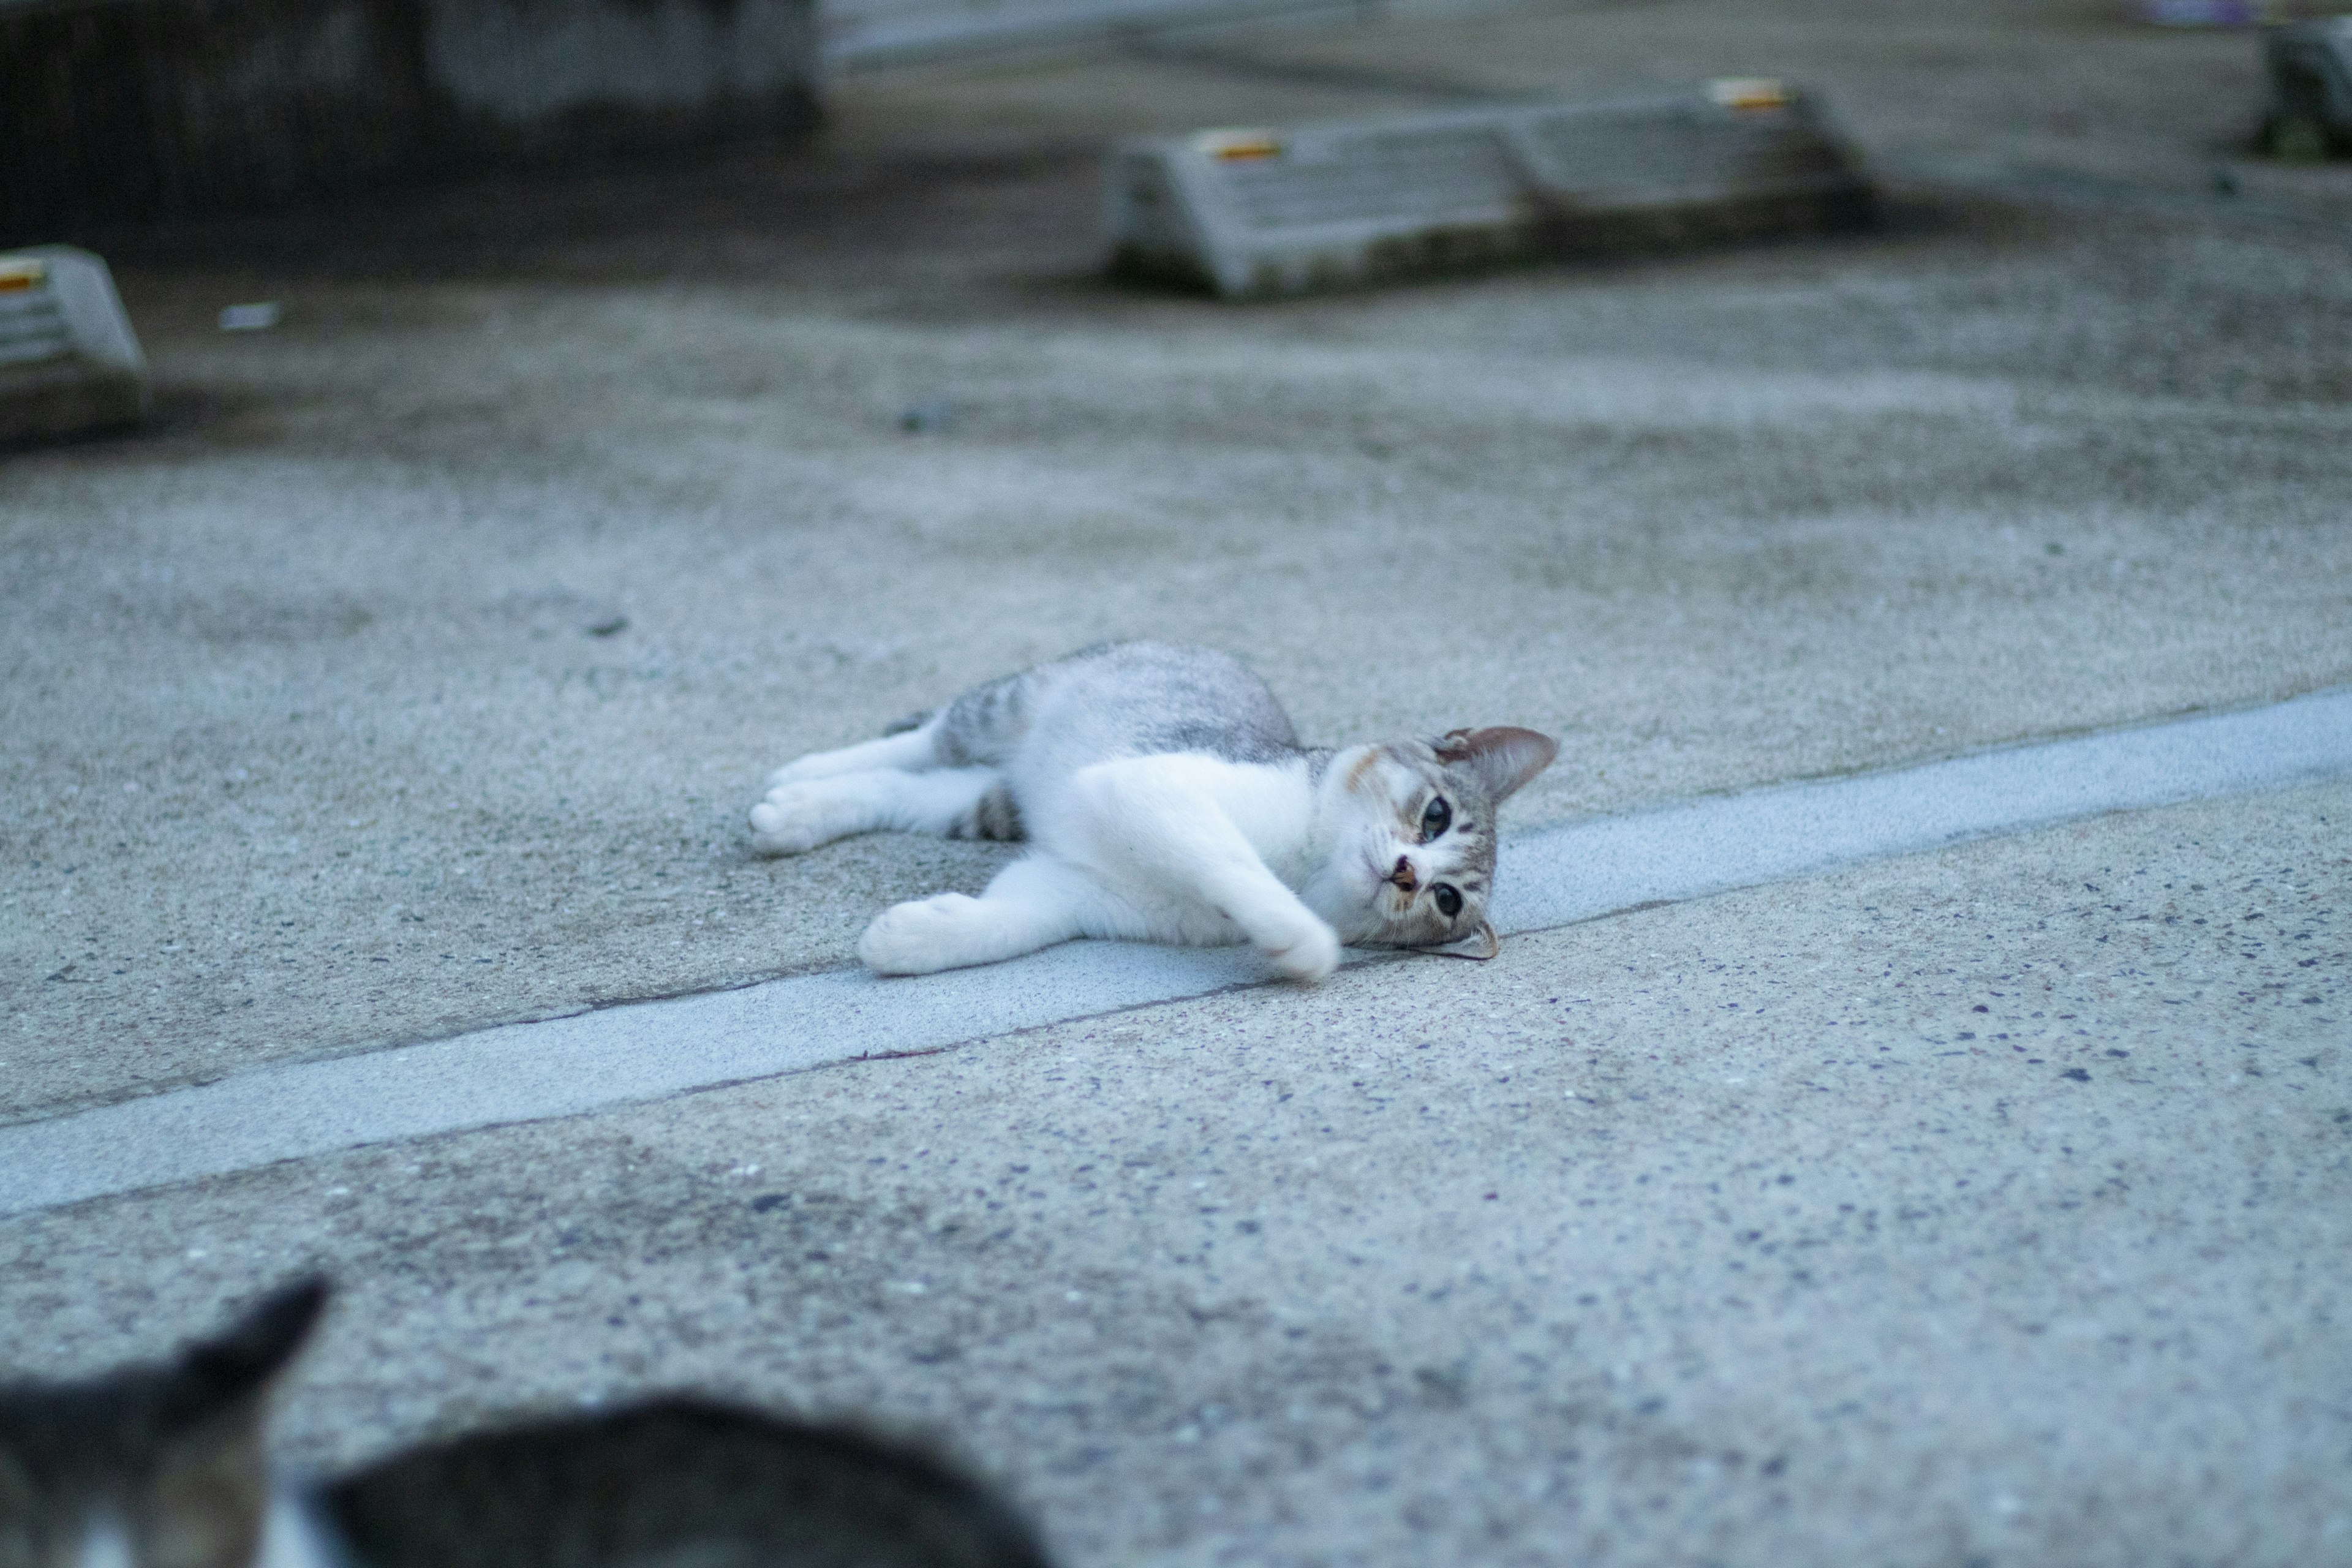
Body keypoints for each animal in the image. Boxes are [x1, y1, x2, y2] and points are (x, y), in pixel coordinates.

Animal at [757, 639, 1561, 982]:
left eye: (1446, 899)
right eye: (1434, 816)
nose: (1405, 873)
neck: (1309, 863)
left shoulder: (1075, 888)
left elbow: (1013, 918)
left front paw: (915, 938)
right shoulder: (1152, 784)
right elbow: (1232, 858)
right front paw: (1302, 940)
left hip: (993, 803)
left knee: (920, 792)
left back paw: (799, 810)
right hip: (1013, 702)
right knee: (926, 739)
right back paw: (800, 771)